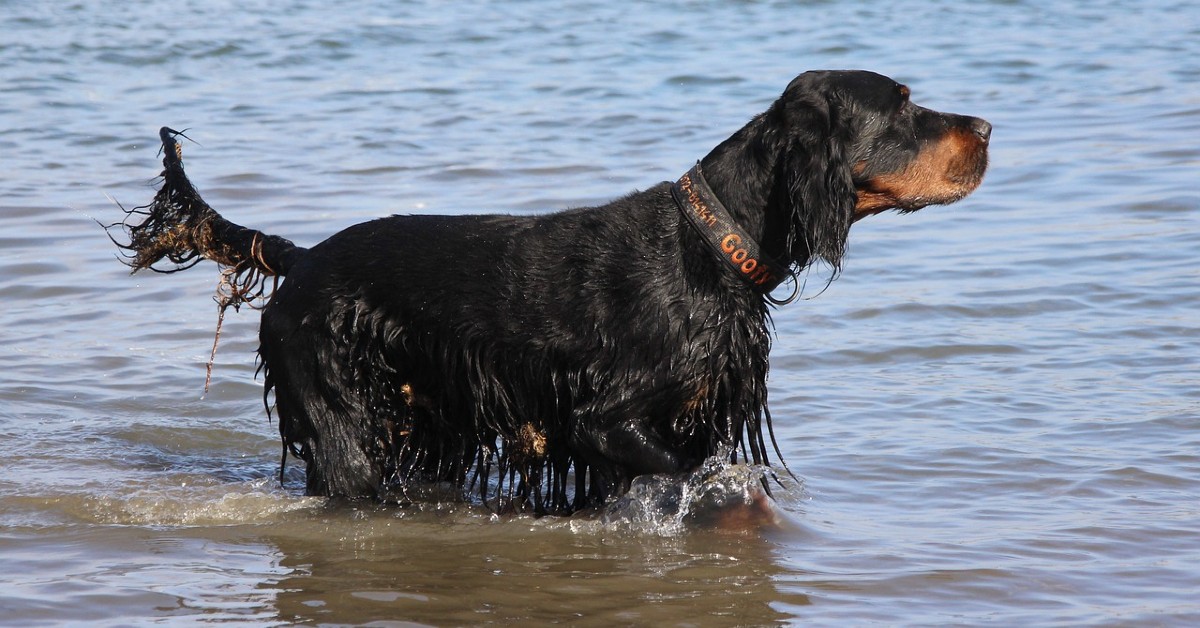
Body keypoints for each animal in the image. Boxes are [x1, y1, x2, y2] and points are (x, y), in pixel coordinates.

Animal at [117, 69, 988, 516]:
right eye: (903, 106)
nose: (985, 127)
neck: (712, 244)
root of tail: (300, 262)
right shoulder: (602, 419)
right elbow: (699, 471)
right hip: (345, 422)